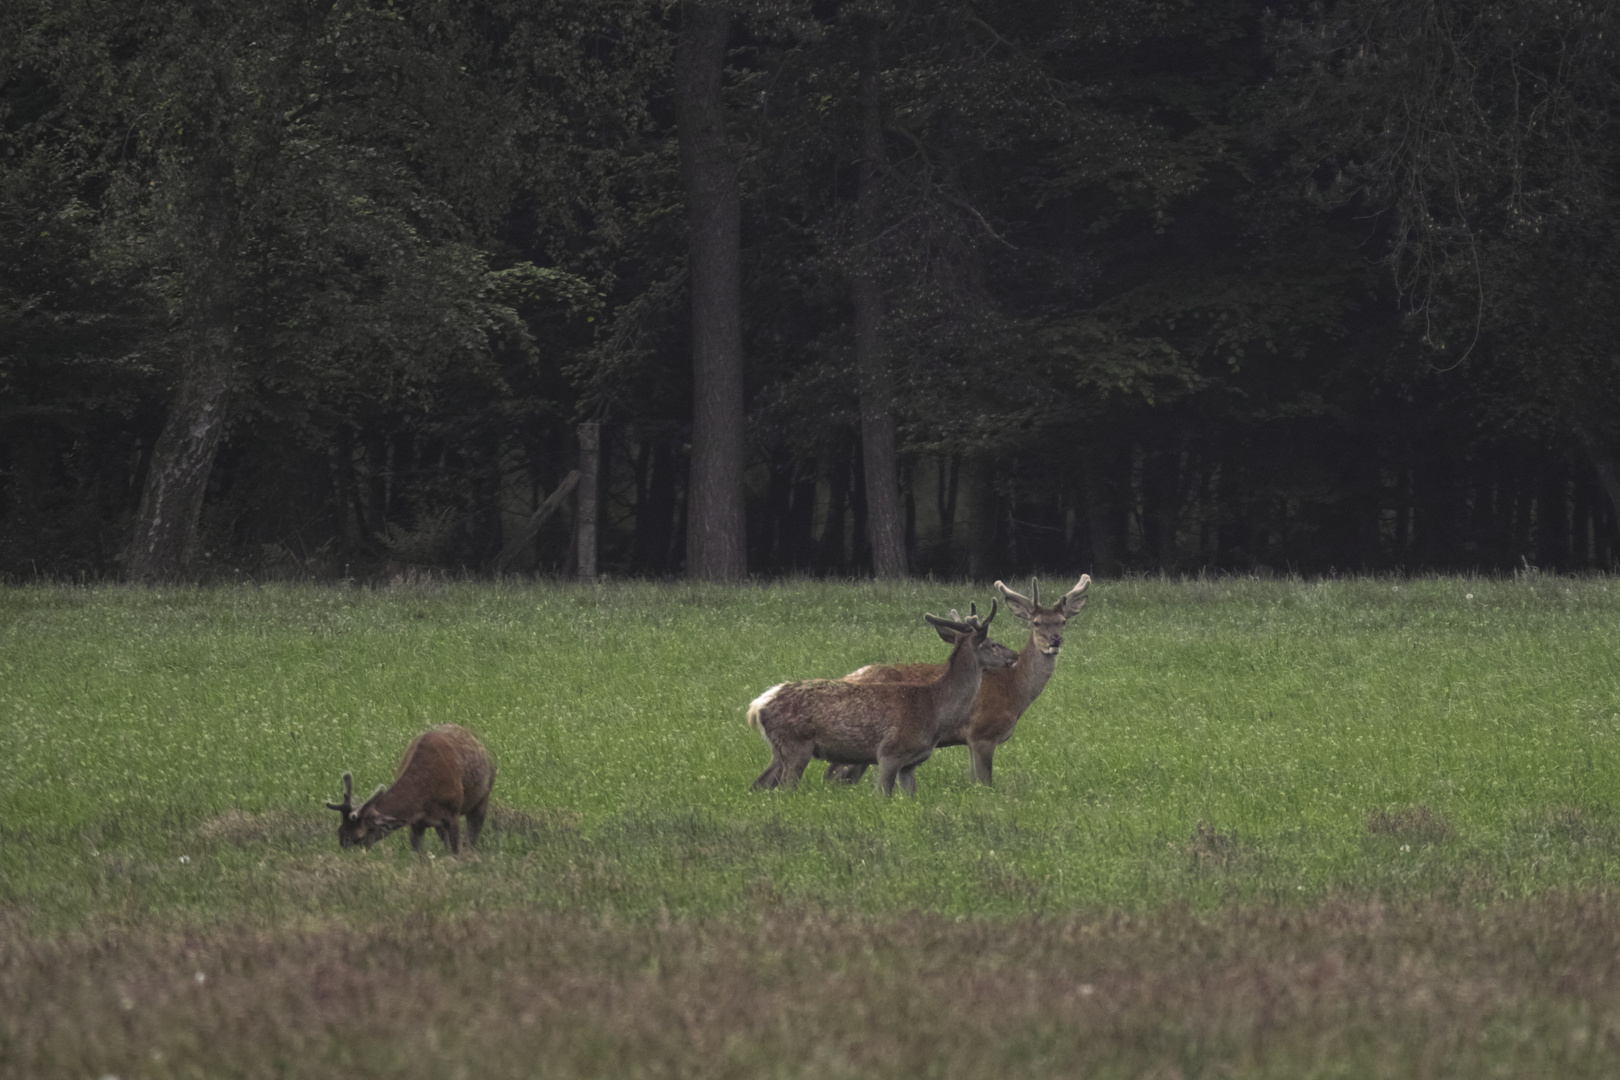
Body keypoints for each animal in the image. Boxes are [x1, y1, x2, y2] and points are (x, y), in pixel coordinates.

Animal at [320, 722, 486, 854]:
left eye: (360, 837)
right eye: (339, 832)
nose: (346, 855)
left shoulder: (453, 814)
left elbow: (456, 851)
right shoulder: (415, 823)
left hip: (482, 799)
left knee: (474, 834)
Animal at [748, 605, 1010, 799]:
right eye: (993, 644)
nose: (1013, 657)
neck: (934, 708)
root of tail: (757, 706)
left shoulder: (910, 764)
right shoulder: (890, 752)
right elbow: (882, 795)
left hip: (779, 750)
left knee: (759, 784)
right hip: (796, 745)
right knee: (784, 789)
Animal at [835, 573, 1088, 786]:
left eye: (1063, 621)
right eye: (1036, 623)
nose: (1054, 641)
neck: (1014, 690)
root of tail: (847, 676)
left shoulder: (970, 741)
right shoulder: (982, 733)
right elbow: (986, 782)